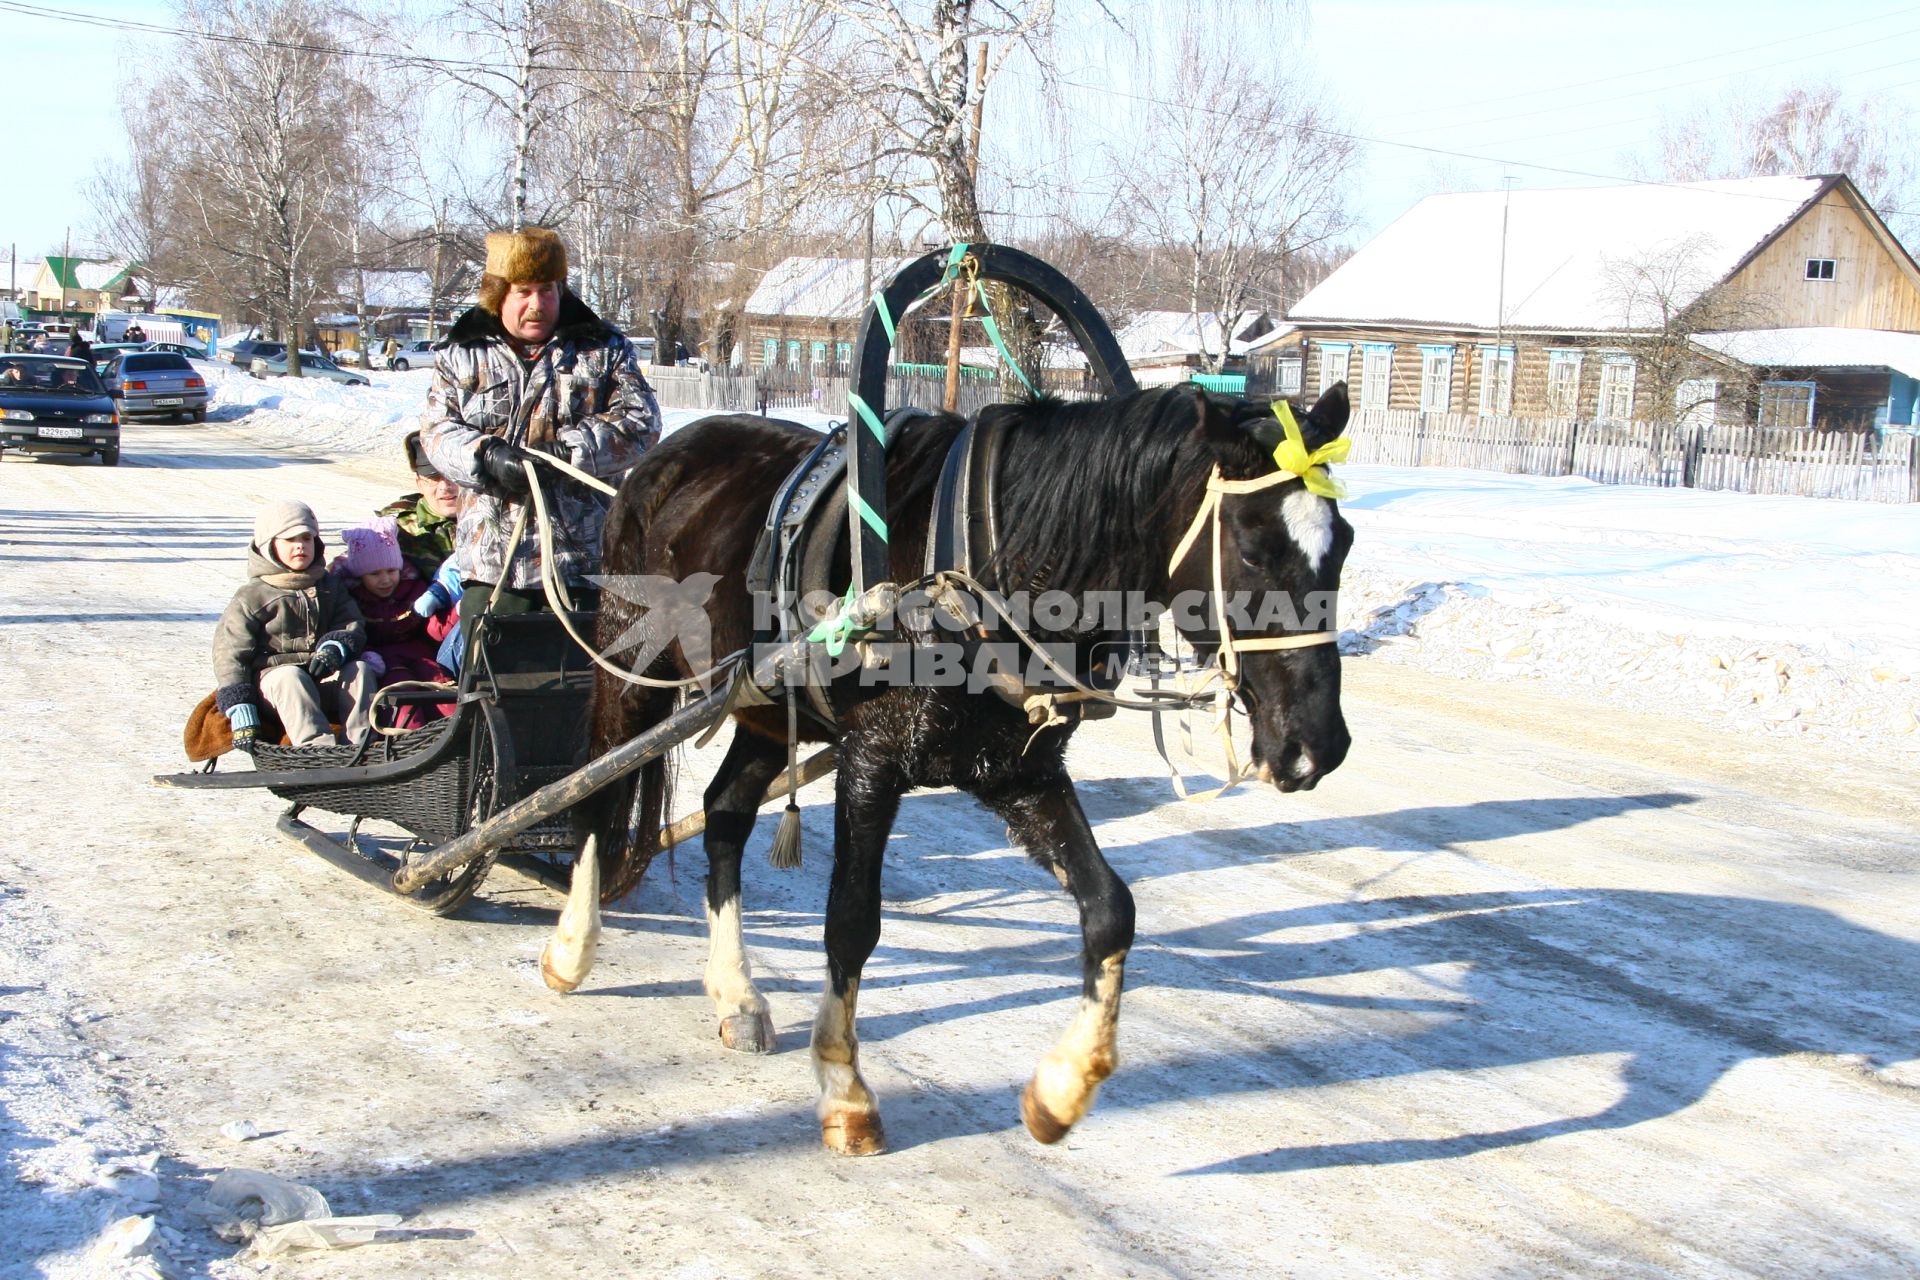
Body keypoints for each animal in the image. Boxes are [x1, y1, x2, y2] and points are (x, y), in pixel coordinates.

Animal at [549, 385, 1359, 1159]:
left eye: (1344, 543)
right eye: (1253, 549)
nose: (1320, 746)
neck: (976, 573)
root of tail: (669, 451)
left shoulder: (1019, 772)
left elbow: (1111, 908)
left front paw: (1063, 1090)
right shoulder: (871, 760)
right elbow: (851, 921)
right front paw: (845, 1089)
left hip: (766, 705)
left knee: (724, 812)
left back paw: (736, 994)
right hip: (628, 660)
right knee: (594, 791)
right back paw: (571, 947)